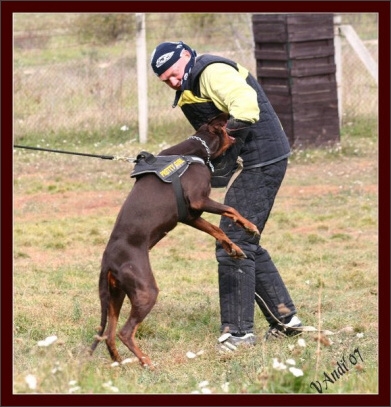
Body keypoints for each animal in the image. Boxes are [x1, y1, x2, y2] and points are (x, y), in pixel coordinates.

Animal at [89, 113, 260, 368]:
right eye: (227, 126)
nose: (240, 127)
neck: (196, 150)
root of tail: (108, 261)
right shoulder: (199, 200)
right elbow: (231, 209)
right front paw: (250, 227)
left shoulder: (190, 215)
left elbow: (216, 230)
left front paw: (234, 247)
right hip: (145, 291)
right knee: (124, 332)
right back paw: (146, 362)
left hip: (115, 294)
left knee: (109, 334)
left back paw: (120, 363)